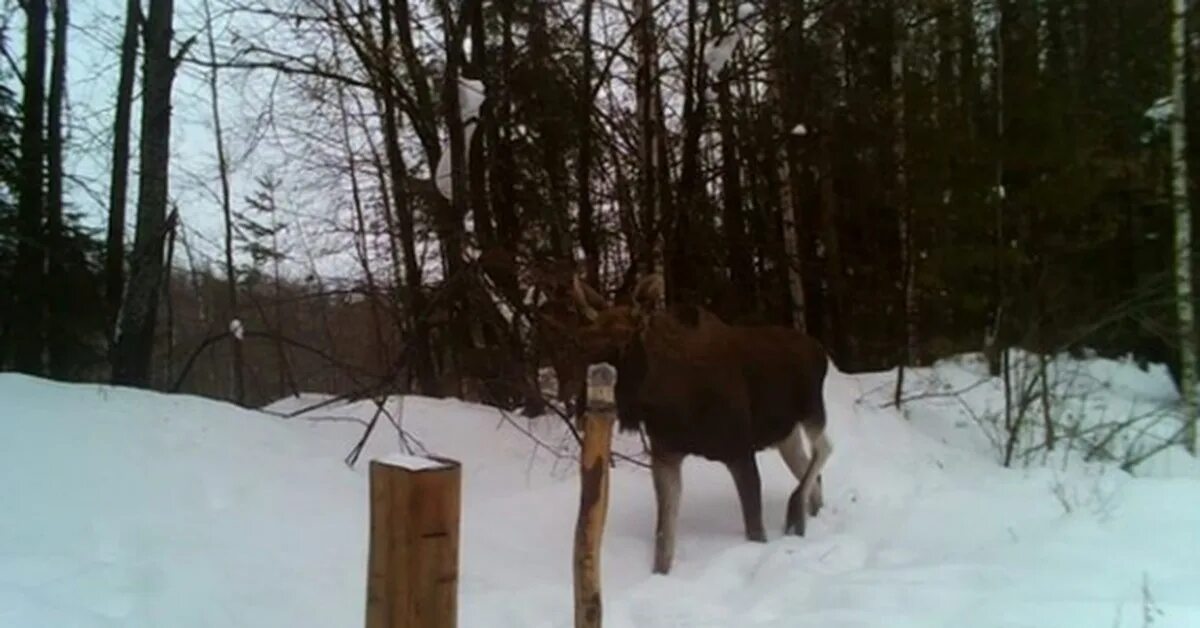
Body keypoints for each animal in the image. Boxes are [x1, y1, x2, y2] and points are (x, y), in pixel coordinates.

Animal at [566, 273, 830, 573]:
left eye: (626, 340)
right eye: (581, 342)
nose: (582, 406)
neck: (668, 402)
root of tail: (821, 351)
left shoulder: (739, 450)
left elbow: (755, 530)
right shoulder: (666, 455)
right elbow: (663, 539)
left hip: (812, 411)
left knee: (824, 448)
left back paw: (796, 510)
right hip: (786, 434)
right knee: (809, 467)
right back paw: (811, 513)